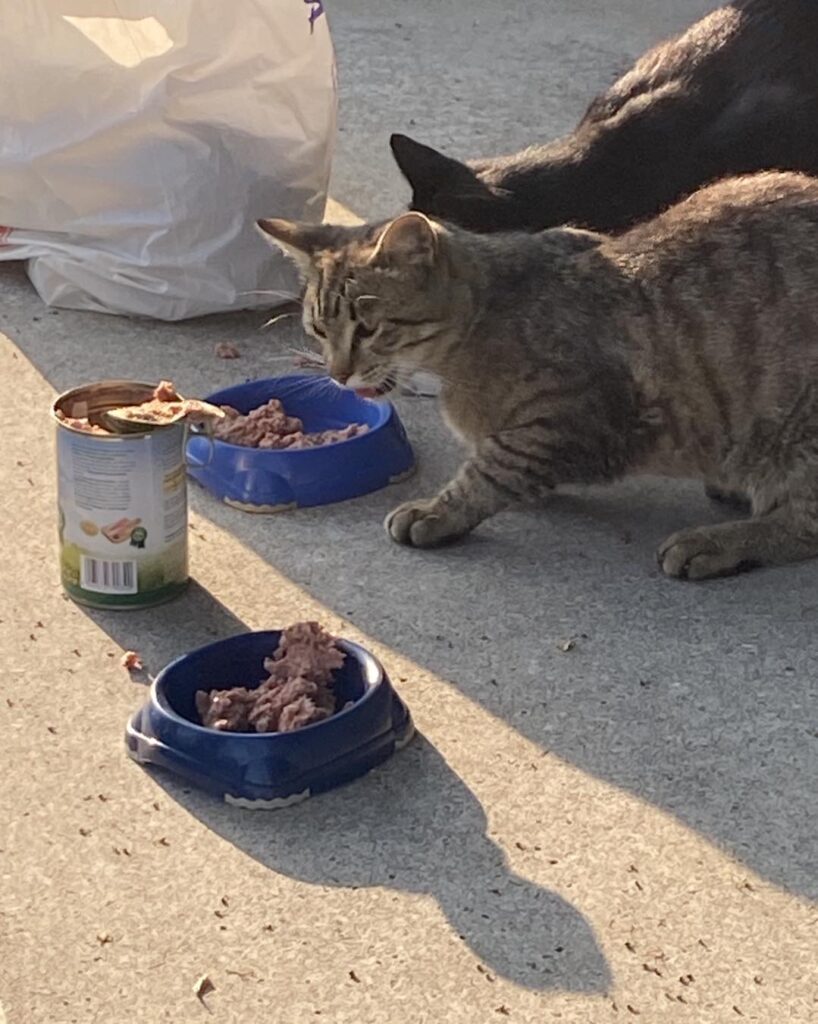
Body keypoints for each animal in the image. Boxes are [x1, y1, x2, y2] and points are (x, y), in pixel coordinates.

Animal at [259, 170, 818, 580]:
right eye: (318, 329)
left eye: (369, 328)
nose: (338, 374)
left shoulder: (568, 412)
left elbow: (491, 467)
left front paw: (439, 512)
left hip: (802, 429)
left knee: (804, 525)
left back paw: (716, 541)